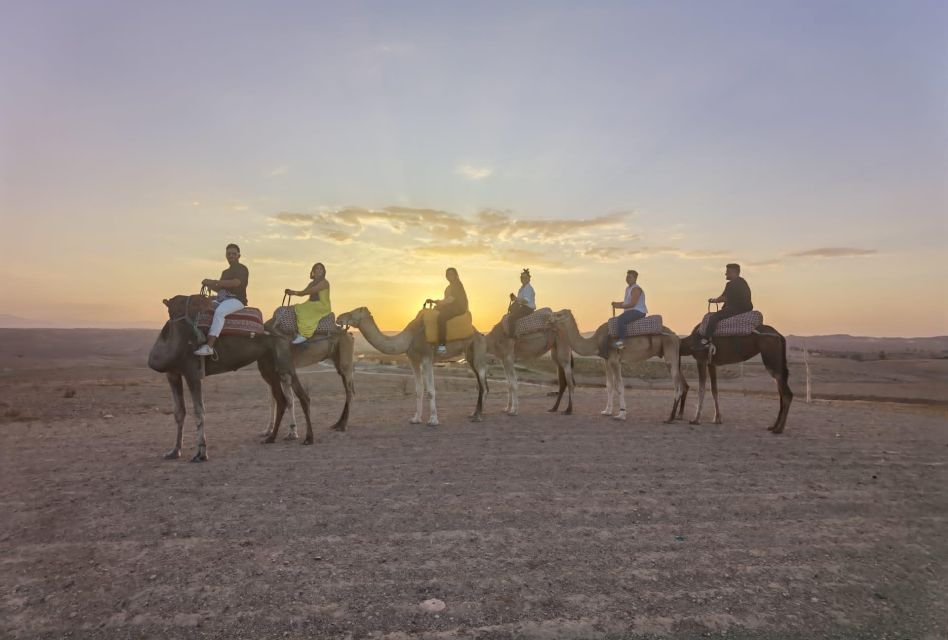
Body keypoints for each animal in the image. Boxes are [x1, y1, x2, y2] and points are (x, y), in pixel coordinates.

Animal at [147, 292, 312, 462]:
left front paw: (201, 453)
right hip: (267, 365)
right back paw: (271, 438)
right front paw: (174, 451)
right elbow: (179, 412)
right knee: (282, 399)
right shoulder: (172, 373)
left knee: (302, 396)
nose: (198, 338)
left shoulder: (192, 372)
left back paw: (308, 438)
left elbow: (199, 411)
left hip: (284, 359)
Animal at [336, 308, 488, 428]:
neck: (410, 338)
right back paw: (475, 413)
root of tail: (480, 334)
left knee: (483, 384)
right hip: (470, 355)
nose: (339, 318)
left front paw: (433, 420)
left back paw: (479, 416)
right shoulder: (413, 360)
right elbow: (418, 390)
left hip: (478, 350)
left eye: (354, 312)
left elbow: (430, 391)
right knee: (482, 383)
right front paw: (416, 419)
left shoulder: (427, 358)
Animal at [548, 312, 688, 424]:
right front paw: (607, 411)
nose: (549, 320)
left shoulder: (615, 360)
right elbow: (609, 385)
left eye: (559, 314)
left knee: (678, 386)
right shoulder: (607, 360)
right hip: (674, 357)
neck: (596, 342)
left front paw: (621, 414)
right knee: (682, 384)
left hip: (670, 354)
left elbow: (619, 386)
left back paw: (670, 418)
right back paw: (676, 416)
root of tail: (677, 337)